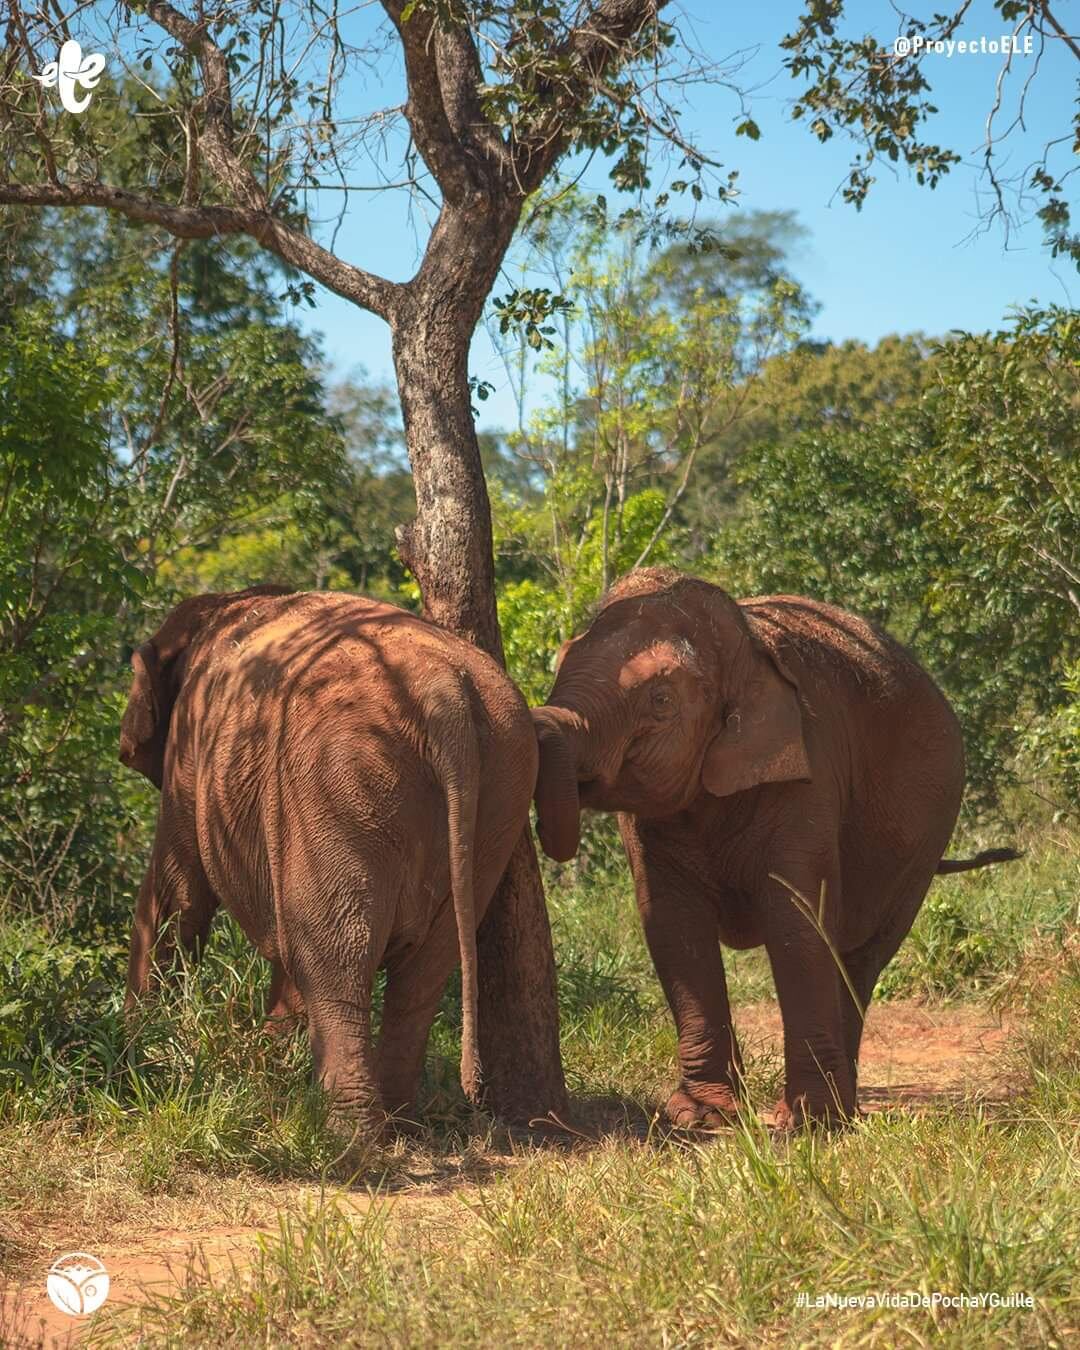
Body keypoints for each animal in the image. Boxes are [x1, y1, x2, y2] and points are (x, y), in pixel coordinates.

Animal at [118, 585, 534, 1123]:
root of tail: (444, 696)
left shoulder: (189, 747)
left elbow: (179, 893)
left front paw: (138, 1055)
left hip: (340, 779)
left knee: (335, 959)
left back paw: (342, 1130)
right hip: (501, 788)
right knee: (422, 973)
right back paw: (395, 1118)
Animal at [531, 569, 1020, 1128]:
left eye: (661, 700)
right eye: (561, 659)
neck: (747, 652)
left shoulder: (811, 772)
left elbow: (796, 921)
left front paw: (808, 1122)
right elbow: (673, 925)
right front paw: (700, 1117)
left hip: (924, 842)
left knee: (862, 955)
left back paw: (844, 1108)